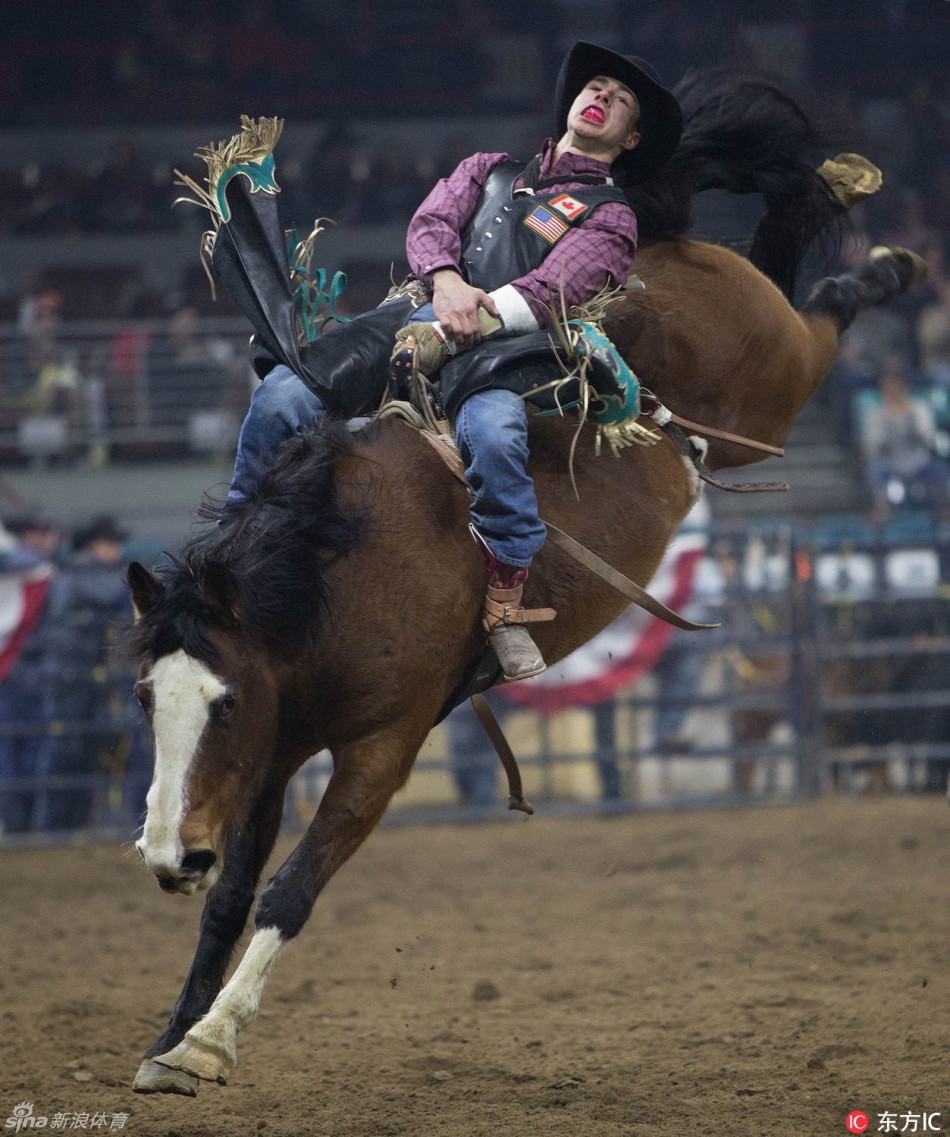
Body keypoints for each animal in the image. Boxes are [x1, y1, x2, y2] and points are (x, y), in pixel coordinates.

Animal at [122, 80, 922, 1091]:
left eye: (221, 701)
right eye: (146, 698)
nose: (166, 854)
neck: (337, 579)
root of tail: (649, 243)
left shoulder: (381, 748)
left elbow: (289, 891)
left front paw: (212, 1039)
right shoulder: (274, 745)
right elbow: (230, 898)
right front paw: (171, 1037)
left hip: (773, 391)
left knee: (817, 307)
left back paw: (885, 256)